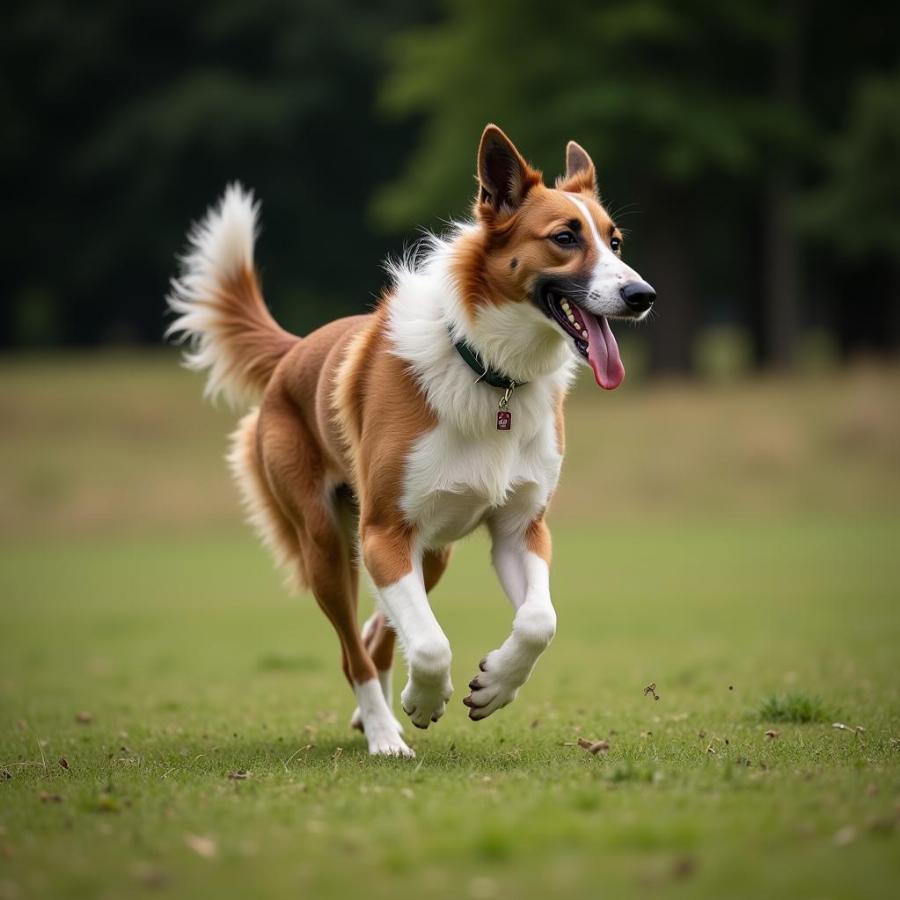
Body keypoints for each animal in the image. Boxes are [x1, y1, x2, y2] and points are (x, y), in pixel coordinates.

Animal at [167, 126, 652, 756]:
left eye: (615, 241)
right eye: (565, 238)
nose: (643, 294)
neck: (490, 373)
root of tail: (294, 351)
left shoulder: (521, 528)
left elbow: (538, 622)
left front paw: (494, 685)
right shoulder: (383, 533)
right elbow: (429, 642)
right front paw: (424, 701)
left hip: (435, 548)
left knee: (379, 632)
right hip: (327, 546)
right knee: (356, 653)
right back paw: (383, 734)